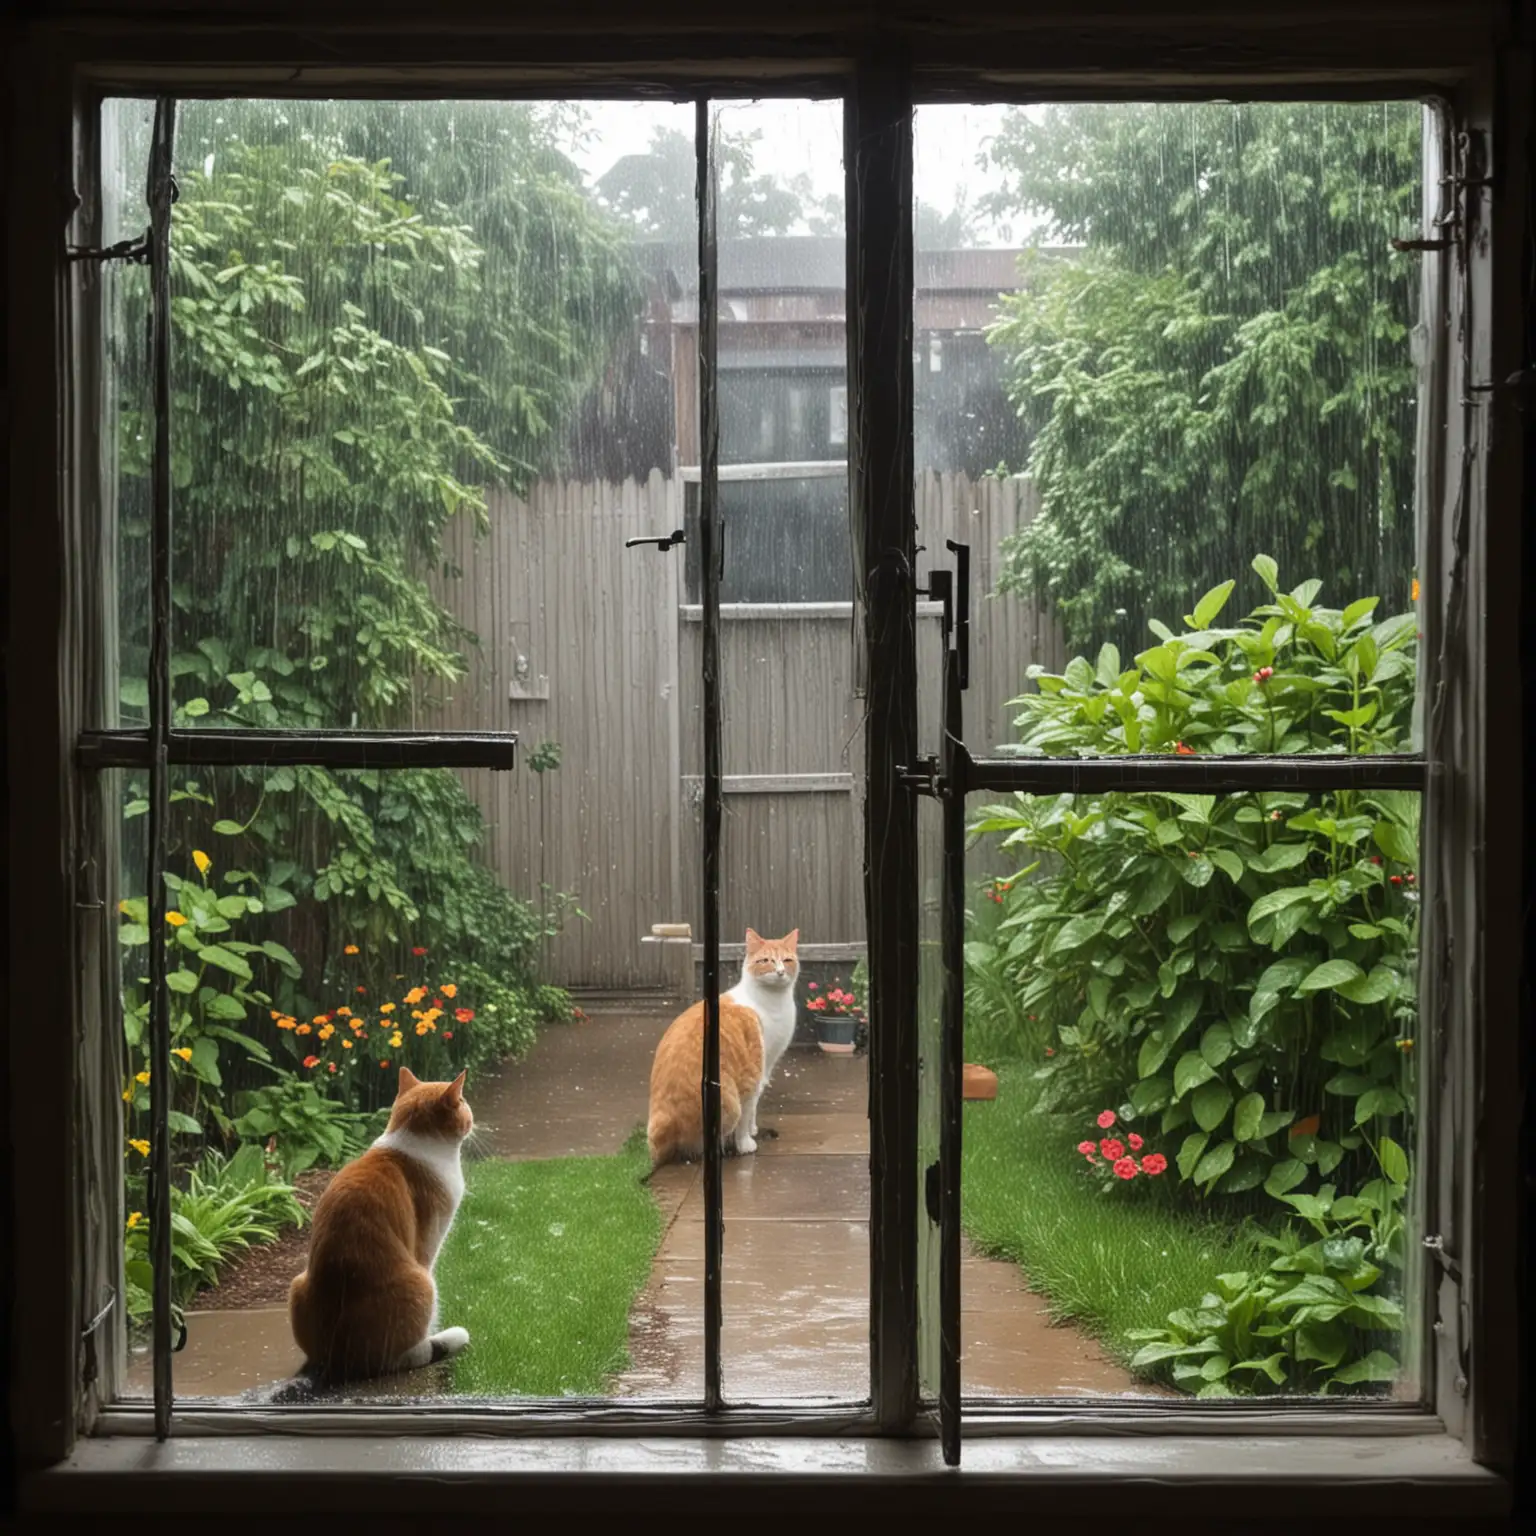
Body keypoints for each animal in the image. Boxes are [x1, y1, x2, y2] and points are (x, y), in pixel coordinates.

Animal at [642, 927, 798, 1167]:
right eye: (766, 961)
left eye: (787, 960)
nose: (780, 971)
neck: (772, 1002)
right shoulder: (753, 1074)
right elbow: (748, 1113)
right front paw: (746, 1143)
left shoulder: (765, 1067)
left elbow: (753, 1111)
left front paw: (753, 1129)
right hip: (729, 1101)